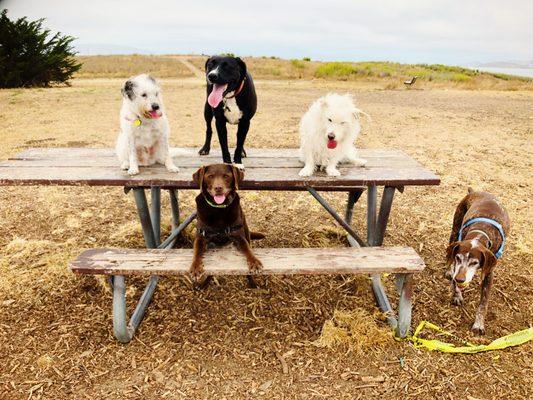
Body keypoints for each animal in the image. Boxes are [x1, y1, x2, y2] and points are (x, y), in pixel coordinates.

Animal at [442, 188, 510, 334]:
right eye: (458, 258)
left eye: (474, 262)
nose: (460, 279)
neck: (480, 233)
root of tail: (475, 191)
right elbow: (454, 279)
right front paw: (457, 295)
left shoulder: (489, 273)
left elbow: (483, 303)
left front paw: (478, 324)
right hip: (455, 229)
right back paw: (449, 271)